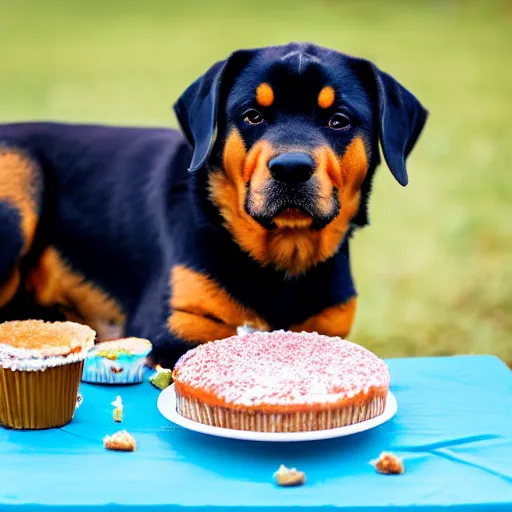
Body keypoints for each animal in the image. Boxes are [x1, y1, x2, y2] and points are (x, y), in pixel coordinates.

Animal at [0, 43, 426, 368]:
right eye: (252, 116)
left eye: (338, 120)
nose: (291, 168)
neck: (282, 260)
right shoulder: (173, 326)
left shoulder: (331, 326)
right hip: (20, 178)